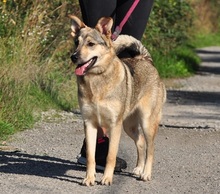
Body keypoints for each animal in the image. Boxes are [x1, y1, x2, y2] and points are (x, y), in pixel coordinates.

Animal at [69, 15, 166, 186]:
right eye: (76, 42)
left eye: (91, 44)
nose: (73, 57)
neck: (96, 79)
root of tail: (145, 59)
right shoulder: (89, 124)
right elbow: (91, 156)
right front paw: (89, 178)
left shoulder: (115, 126)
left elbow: (111, 156)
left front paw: (107, 178)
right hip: (129, 126)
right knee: (140, 142)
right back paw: (139, 168)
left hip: (147, 123)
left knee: (151, 148)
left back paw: (146, 173)